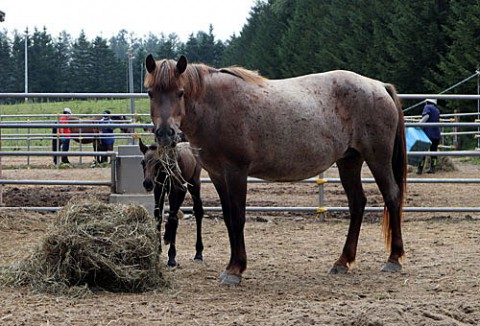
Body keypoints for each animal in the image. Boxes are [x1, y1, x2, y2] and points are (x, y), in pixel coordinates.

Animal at [141, 138, 204, 268]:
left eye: (158, 162)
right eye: (142, 162)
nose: (147, 183)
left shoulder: (177, 189)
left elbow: (173, 219)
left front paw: (171, 256)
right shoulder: (159, 189)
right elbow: (158, 216)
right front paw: (158, 248)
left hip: (194, 183)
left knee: (198, 211)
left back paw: (199, 253)